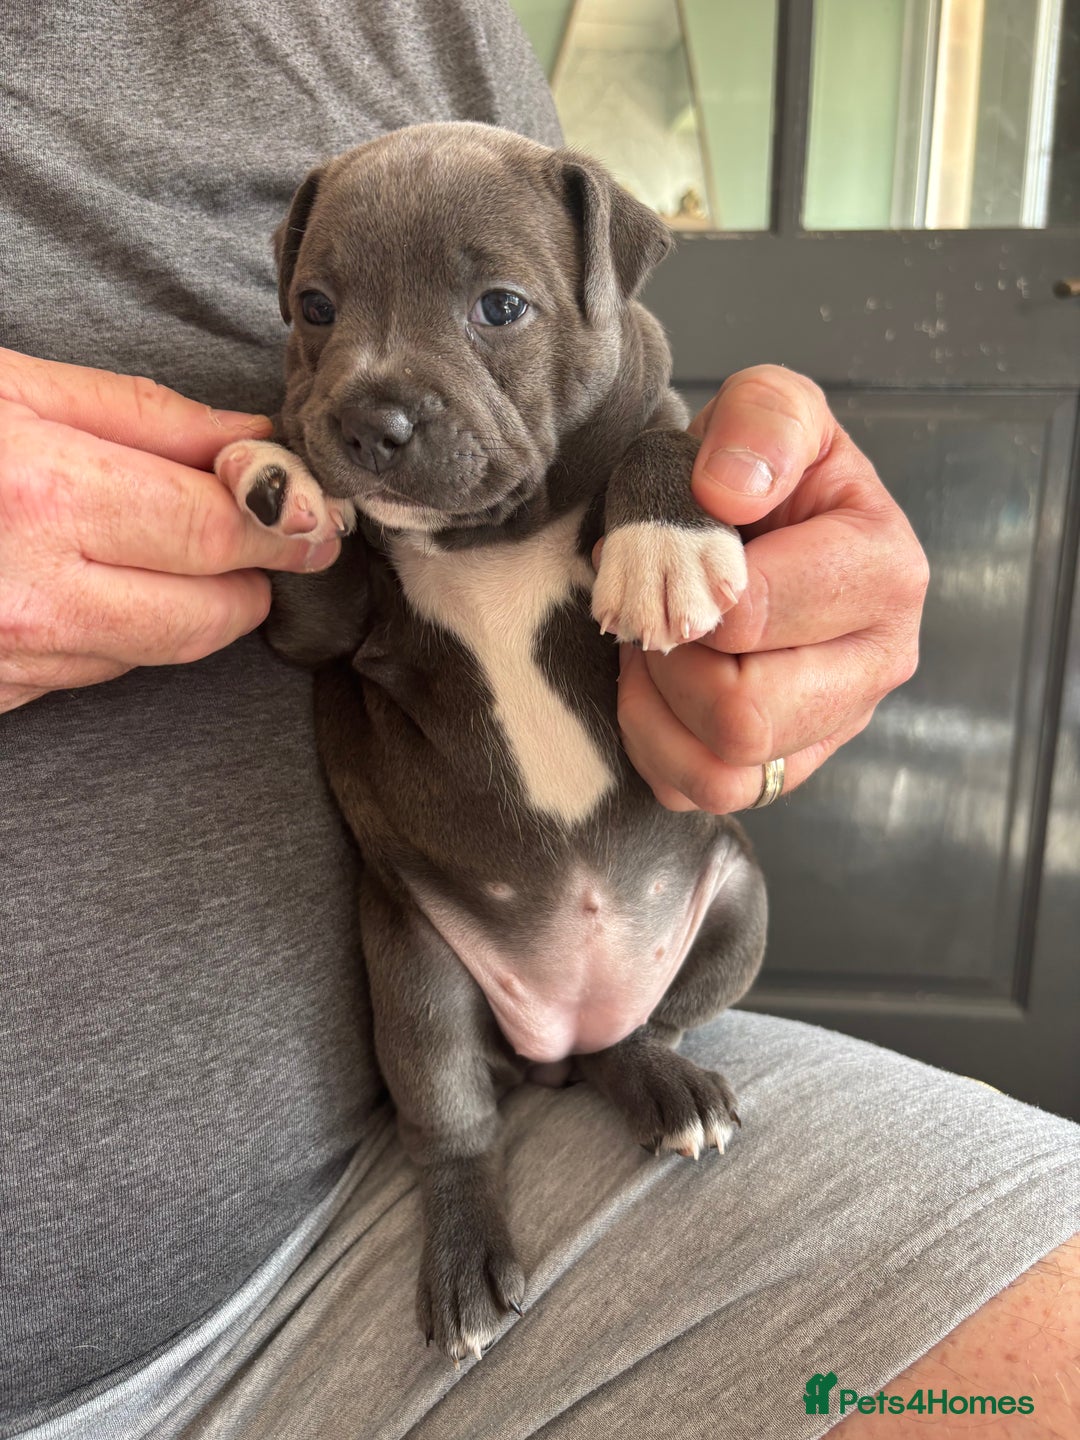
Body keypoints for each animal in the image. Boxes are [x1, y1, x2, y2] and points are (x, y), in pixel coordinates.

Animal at [215, 122, 767, 1364]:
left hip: (738, 907)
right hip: (417, 980)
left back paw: (667, 1087)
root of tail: (555, 1044)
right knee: (454, 1125)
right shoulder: (328, 630)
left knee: (647, 1026)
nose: (367, 420)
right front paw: (276, 468)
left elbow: (676, 435)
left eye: (501, 308)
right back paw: (467, 1261)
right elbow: (310, 571)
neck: (490, 536)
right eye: (315, 306)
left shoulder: (661, 402)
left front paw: (666, 542)